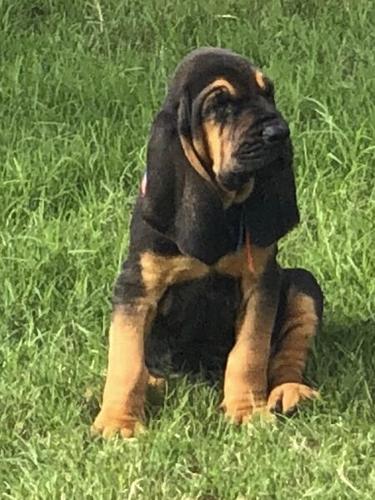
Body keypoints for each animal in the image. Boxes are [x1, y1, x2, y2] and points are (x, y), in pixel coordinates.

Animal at [92, 47, 324, 438]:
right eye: (220, 104)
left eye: (268, 93)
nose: (279, 132)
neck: (224, 200)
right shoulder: (136, 286)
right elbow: (126, 359)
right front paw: (118, 422)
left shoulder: (261, 283)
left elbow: (249, 354)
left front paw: (247, 410)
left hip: (304, 283)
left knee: (288, 354)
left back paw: (289, 391)